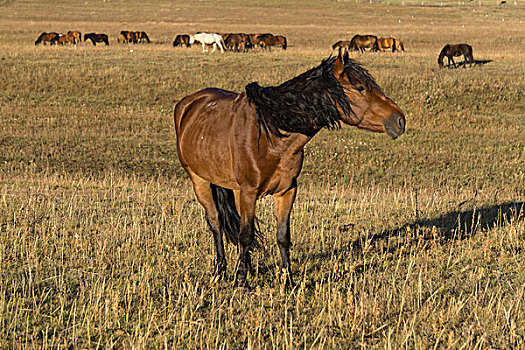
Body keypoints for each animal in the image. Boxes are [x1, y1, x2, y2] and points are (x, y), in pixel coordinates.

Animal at [173, 51, 406, 288]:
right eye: (360, 87)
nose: (400, 120)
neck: (273, 134)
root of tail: (189, 103)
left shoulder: (286, 191)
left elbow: (282, 236)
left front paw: (288, 280)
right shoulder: (248, 192)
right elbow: (245, 235)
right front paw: (241, 281)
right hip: (200, 181)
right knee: (216, 223)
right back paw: (221, 270)